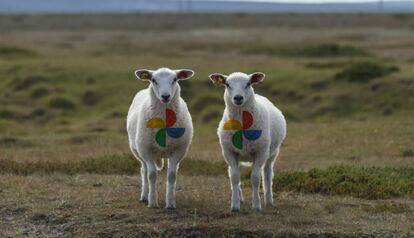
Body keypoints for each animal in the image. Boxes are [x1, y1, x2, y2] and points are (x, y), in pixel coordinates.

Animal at [127, 67, 195, 208]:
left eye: (175, 79)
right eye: (153, 80)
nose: (165, 96)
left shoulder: (179, 150)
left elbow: (172, 176)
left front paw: (170, 203)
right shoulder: (146, 150)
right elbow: (152, 175)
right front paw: (152, 201)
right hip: (139, 151)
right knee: (144, 171)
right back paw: (144, 196)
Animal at [209, 71, 286, 211]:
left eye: (248, 83)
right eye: (227, 84)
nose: (238, 98)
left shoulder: (260, 152)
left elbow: (255, 178)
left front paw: (256, 205)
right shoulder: (229, 152)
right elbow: (234, 177)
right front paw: (235, 205)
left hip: (272, 153)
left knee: (267, 174)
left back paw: (269, 200)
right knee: (232, 173)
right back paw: (240, 197)